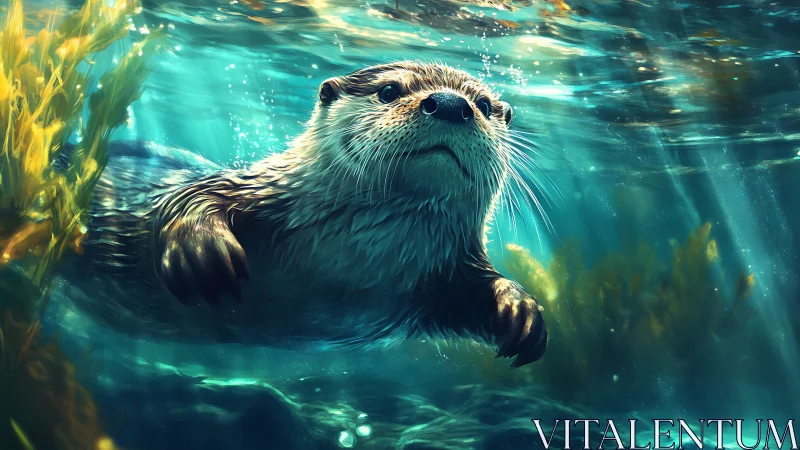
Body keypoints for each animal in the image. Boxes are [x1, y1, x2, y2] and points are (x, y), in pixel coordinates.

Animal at [59, 61, 547, 367]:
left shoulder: (446, 273)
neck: (347, 263)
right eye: (390, 90)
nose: (450, 104)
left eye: (483, 104)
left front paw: (520, 311)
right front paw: (203, 250)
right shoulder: (255, 189)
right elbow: (191, 196)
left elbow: (482, 291)